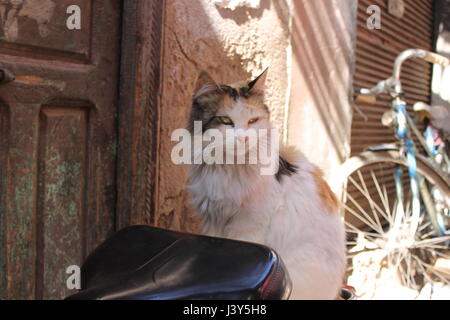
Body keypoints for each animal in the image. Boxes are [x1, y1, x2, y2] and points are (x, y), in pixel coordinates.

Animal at [185, 69, 346, 298]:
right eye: (225, 120)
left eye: (253, 120)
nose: (243, 138)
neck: (228, 167)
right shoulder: (213, 220)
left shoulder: (249, 226)